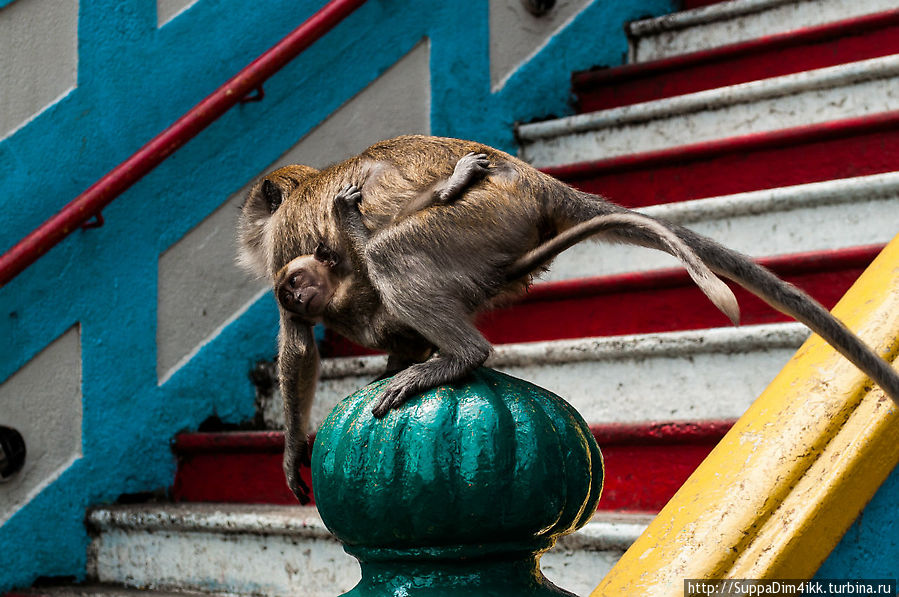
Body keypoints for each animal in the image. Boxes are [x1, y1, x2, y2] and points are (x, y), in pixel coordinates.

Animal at [239, 134, 899, 502]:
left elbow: (298, 346)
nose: (244, 243)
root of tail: (536, 181)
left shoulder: (288, 250)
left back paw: (457, 352)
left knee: (388, 253)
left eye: (252, 219)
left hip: (486, 214)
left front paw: (291, 450)